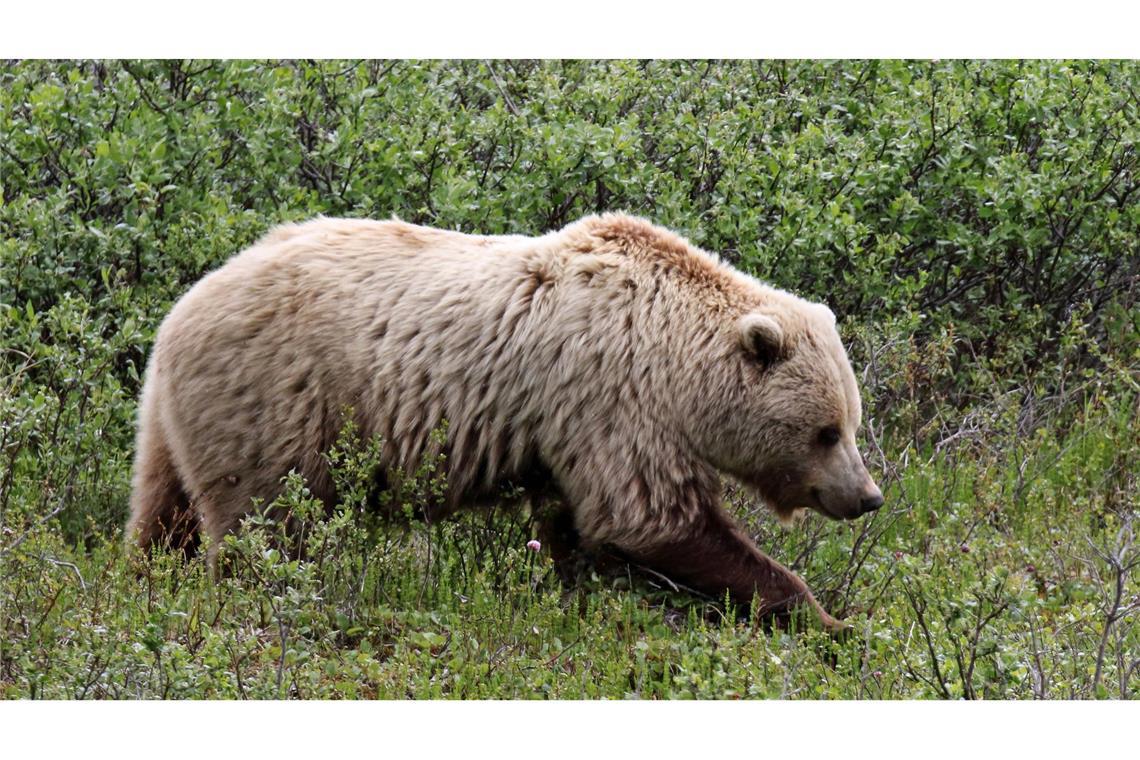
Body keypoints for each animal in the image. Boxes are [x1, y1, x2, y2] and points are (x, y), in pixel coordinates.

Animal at [129, 213, 884, 628]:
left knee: (163, 514)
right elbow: (650, 518)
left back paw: (146, 577)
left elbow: (578, 528)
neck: (676, 360)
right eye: (826, 431)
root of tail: (178, 312)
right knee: (266, 522)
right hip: (279, 402)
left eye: (852, 421)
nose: (868, 496)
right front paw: (829, 618)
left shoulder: (570, 431)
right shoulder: (612, 395)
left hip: (179, 420)